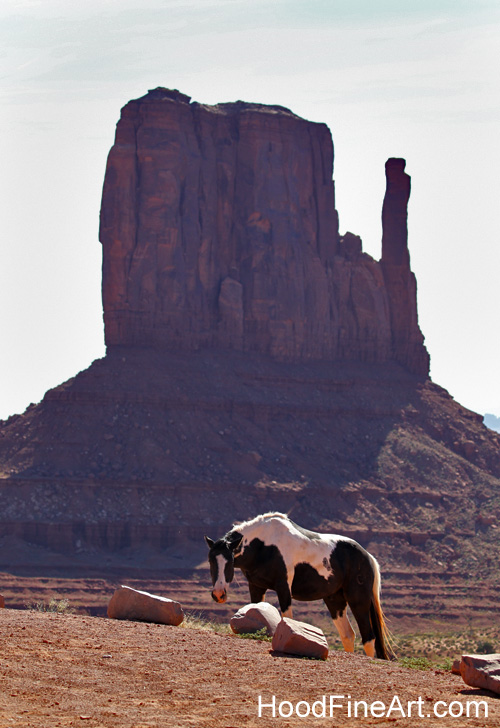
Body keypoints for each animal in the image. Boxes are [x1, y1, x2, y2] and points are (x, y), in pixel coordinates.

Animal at [205, 512, 394, 660]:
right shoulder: (256, 587)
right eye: (211, 560)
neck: (264, 545)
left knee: (368, 638)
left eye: (230, 561)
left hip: (358, 600)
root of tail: (367, 556)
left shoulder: (283, 589)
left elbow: (287, 619)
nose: (218, 594)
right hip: (335, 601)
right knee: (348, 635)